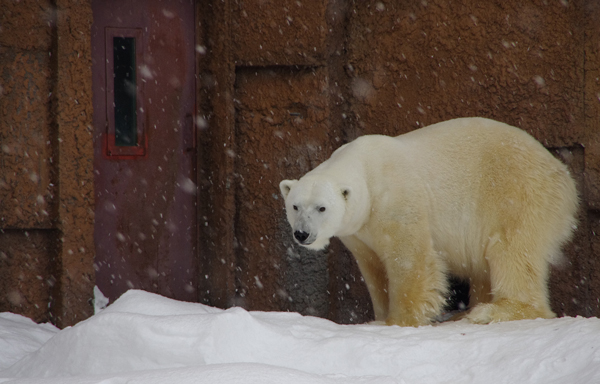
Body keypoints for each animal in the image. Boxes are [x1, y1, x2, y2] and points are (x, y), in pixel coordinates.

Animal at [278, 118, 580, 328]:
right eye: (295, 206)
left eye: (322, 207)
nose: (302, 233)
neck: (365, 169)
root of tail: (562, 172)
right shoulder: (359, 232)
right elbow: (374, 269)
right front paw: (379, 316)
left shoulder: (396, 201)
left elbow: (410, 260)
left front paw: (400, 321)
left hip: (518, 193)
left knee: (510, 250)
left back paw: (492, 311)